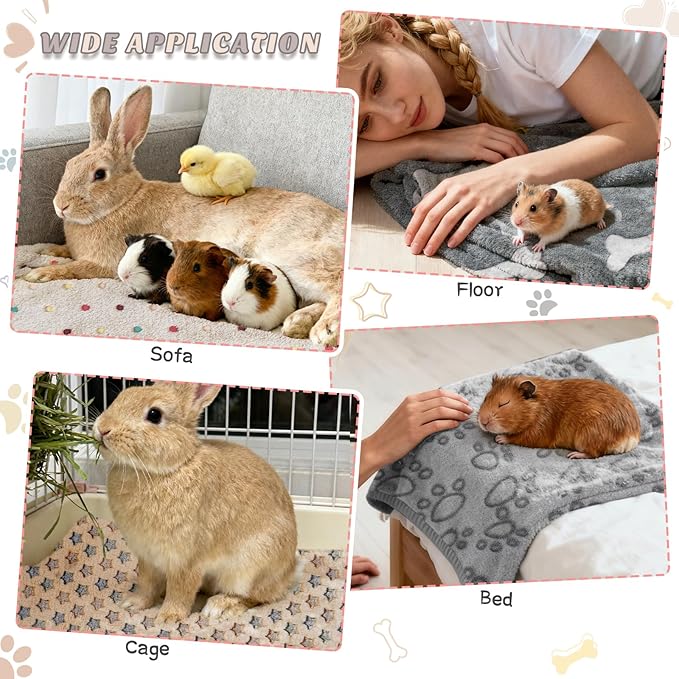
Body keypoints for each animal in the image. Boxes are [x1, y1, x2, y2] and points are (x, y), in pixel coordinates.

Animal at [23, 86, 346, 346]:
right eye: (69, 164)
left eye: (99, 174)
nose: (60, 205)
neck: (123, 200)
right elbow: (60, 251)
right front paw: (43, 251)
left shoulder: (104, 262)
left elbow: (75, 268)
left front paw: (38, 274)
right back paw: (297, 324)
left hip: (294, 257)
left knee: (336, 284)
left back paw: (324, 330)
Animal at [93, 380, 299, 624]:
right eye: (123, 395)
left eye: (154, 415)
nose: (103, 428)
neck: (168, 469)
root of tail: (290, 572)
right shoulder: (147, 557)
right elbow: (146, 584)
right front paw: (132, 604)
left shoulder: (186, 560)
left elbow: (180, 591)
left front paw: (167, 618)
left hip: (249, 569)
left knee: (256, 597)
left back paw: (220, 607)